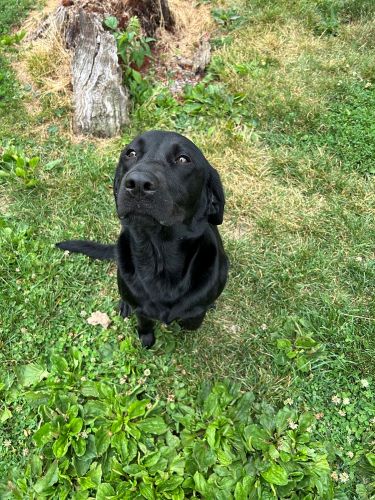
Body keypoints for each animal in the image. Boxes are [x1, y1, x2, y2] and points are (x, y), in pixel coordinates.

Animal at [57, 131, 229, 346]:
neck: (158, 254)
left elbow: (192, 320)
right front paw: (146, 339)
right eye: (130, 153)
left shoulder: (196, 310)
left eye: (183, 159)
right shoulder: (141, 308)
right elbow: (144, 322)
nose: (138, 183)